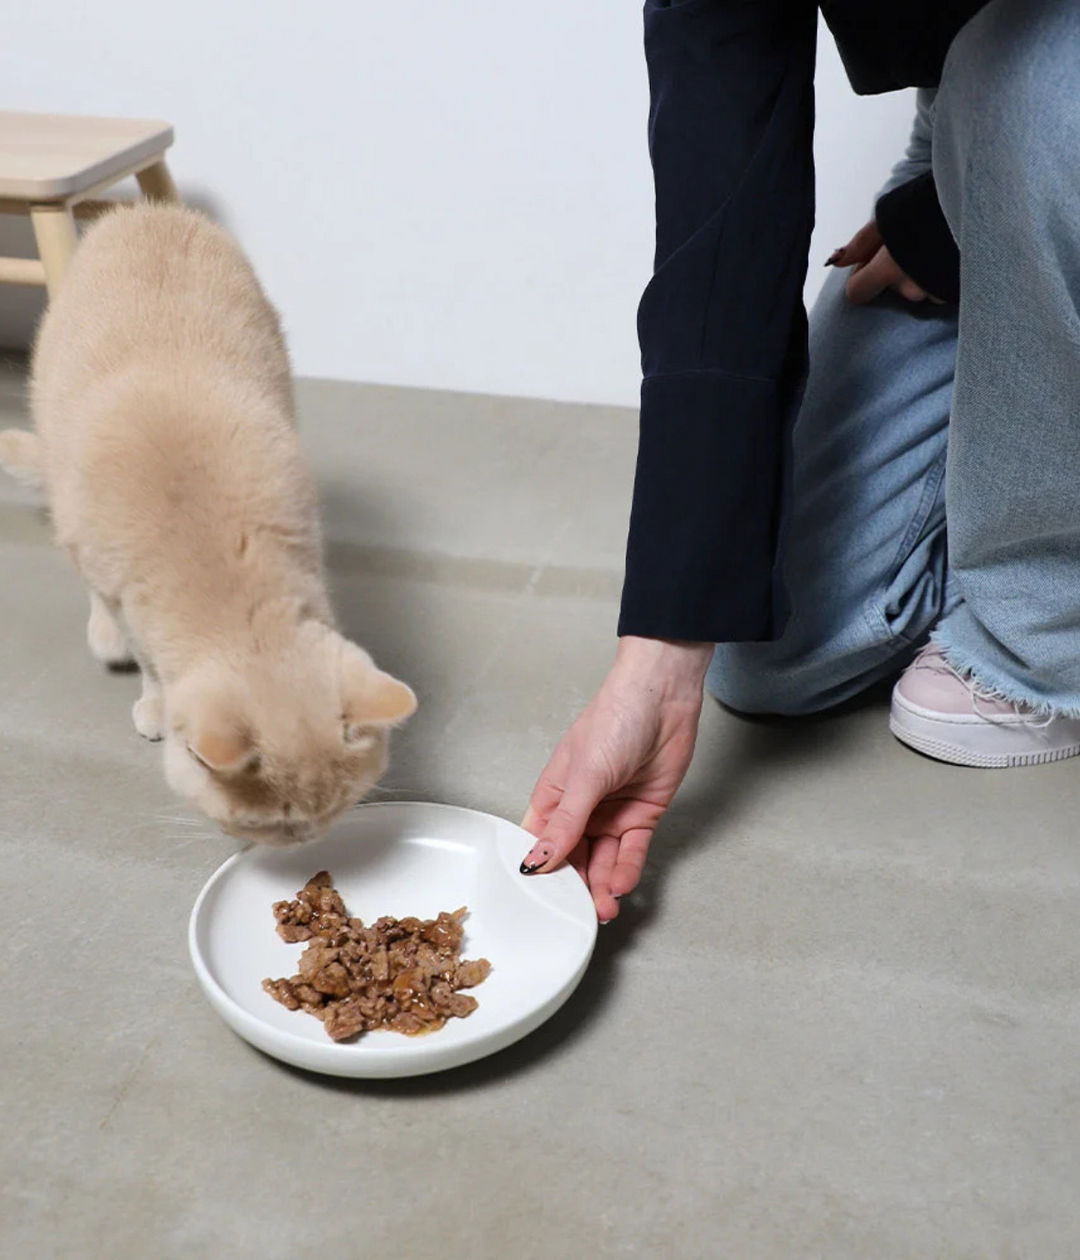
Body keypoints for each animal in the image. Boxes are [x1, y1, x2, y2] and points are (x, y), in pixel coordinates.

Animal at [0, 201, 418, 841]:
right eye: (272, 825)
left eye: (336, 808)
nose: (307, 840)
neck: (209, 547)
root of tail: (145, 210)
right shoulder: (122, 588)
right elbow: (148, 659)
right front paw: (153, 702)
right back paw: (104, 636)